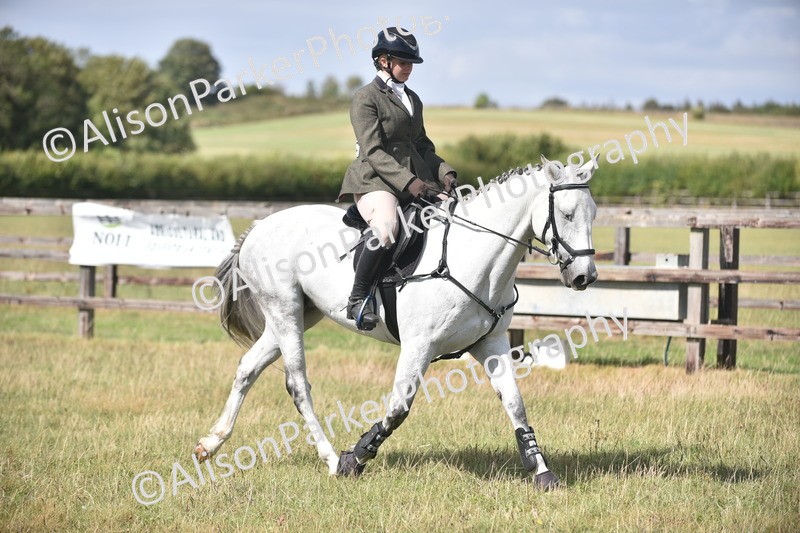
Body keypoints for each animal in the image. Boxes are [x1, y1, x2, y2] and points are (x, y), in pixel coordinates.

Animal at [193, 155, 599, 489]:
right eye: (565, 214)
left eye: (592, 214)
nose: (585, 276)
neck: (474, 257)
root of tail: (259, 226)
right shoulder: (419, 346)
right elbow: (398, 408)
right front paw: (354, 459)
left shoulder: (493, 344)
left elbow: (516, 405)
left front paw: (542, 472)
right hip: (285, 309)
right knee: (297, 385)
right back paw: (329, 458)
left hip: (297, 315)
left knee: (248, 367)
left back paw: (210, 444)